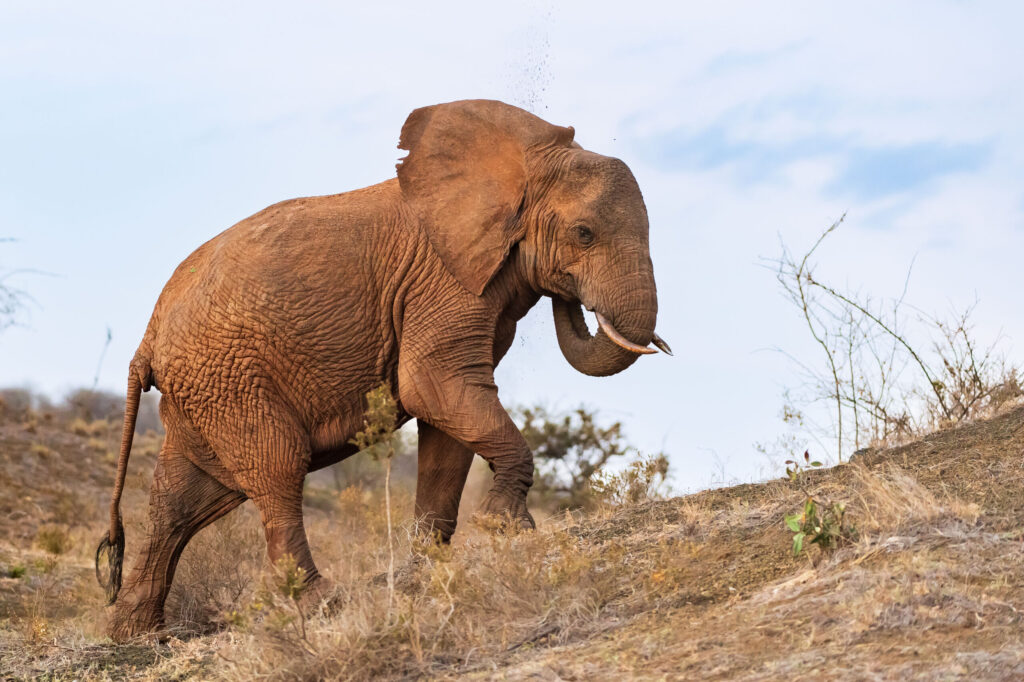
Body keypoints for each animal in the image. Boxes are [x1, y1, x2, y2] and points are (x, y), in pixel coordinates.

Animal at [95, 99, 670, 640]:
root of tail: (147, 337)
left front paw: (427, 565)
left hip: (205, 389)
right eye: (584, 233)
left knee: (185, 499)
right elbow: (434, 388)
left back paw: (137, 633)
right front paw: (505, 529)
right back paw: (322, 604)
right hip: (230, 378)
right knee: (277, 470)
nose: (573, 297)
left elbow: (447, 423)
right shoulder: (442, 280)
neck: (520, 162)